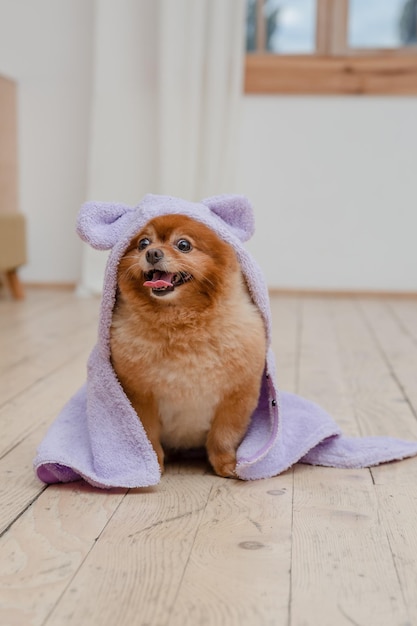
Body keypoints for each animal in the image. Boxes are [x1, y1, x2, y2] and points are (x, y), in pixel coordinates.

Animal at [110, 212, 264, 476]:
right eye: (143, 243)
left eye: (183, 245)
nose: (152, 253)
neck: (182, 327)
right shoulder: (139, 396)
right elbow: (148, 437)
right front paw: (155, 466)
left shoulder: (237, 394)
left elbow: (223, 436)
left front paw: (227, 465)